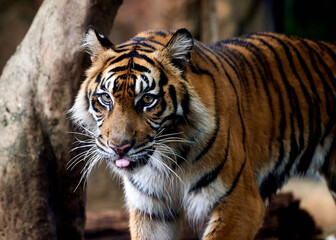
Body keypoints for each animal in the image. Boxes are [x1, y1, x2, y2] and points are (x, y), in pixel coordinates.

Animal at [69, 25, 336, 239]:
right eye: (106, 98)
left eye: (147, 100)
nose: (119, 147)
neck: (166, 161)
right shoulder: (151, 210)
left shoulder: (240, 201)